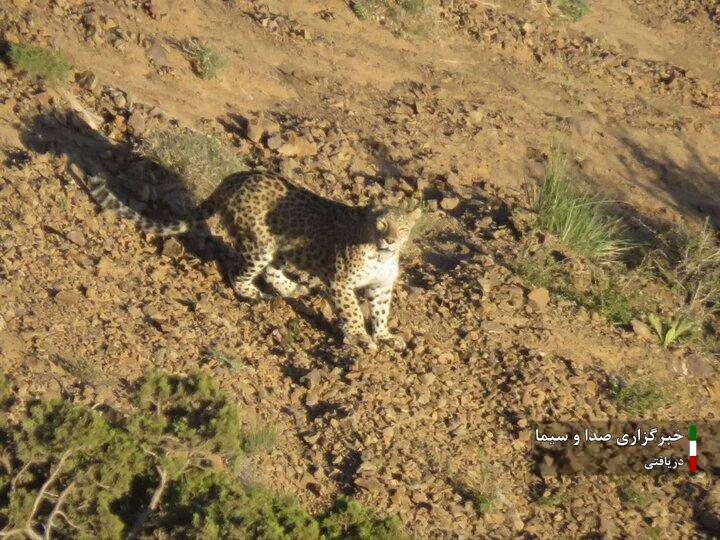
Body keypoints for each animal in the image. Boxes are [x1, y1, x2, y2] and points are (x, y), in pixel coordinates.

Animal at [88, 171, 422, 352]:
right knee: (238, 273)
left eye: (404, 228)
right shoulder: (340, 282)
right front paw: (359, 337)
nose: (391, 240)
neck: (380, 255)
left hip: (277, 246)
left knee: (272, 271)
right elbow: (351, 310)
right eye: (381, 225)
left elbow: (380, 311)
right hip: (258, 243)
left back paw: (294, 288)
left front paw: (384, 335)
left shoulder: (380, 287)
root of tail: (233, 179)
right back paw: (255, 294)